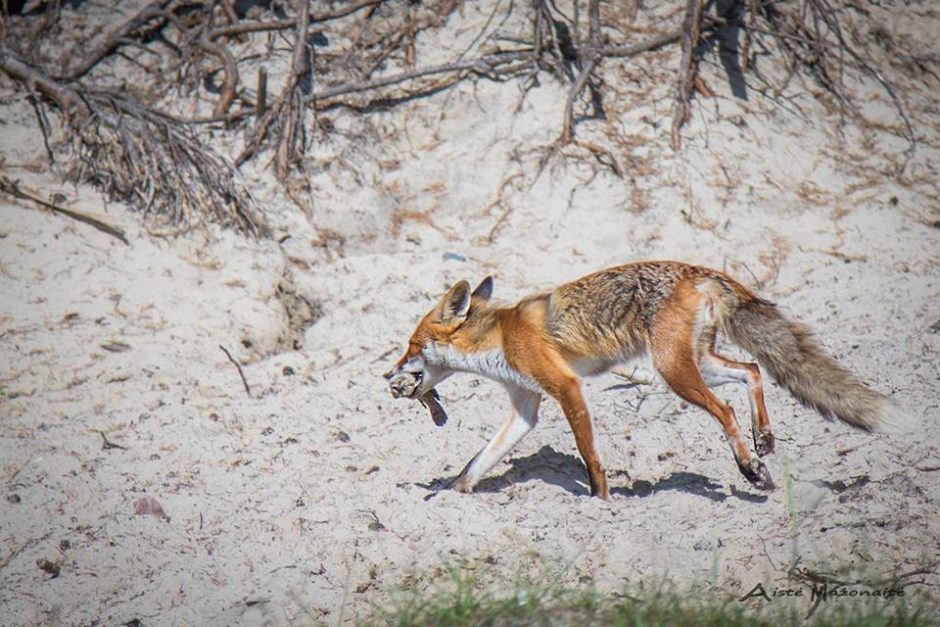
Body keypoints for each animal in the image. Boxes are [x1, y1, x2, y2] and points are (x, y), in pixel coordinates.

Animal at [382, 260, 896, 500]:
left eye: (410, 345)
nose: (387, 375)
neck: (500, 338)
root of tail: (696, 269)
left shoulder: (566, 387)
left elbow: (590, 457)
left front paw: (601, 502)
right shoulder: (525, 406)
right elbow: (477, 463)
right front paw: (451, 497)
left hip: (674, 372)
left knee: (726, 408)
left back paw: (750, 467)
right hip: (698, 363)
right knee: (750, 372)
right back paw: (763, 439)